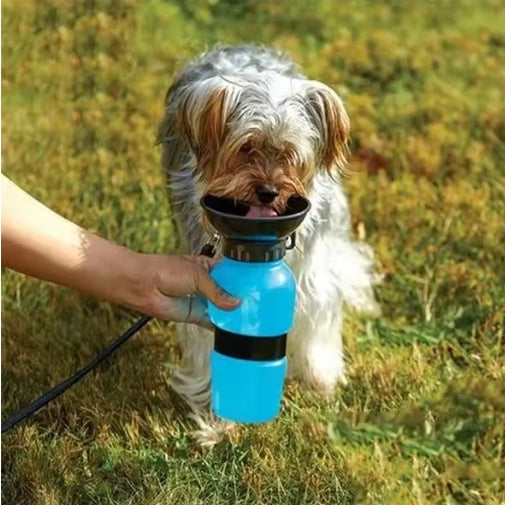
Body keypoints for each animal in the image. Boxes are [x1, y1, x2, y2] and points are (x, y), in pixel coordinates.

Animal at [157, 44, 378, 444]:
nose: (270, 192)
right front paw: (217, 422)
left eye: (290, 153)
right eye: (246, 148)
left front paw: (321, 382)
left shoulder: (310, 272)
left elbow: (316, 318)